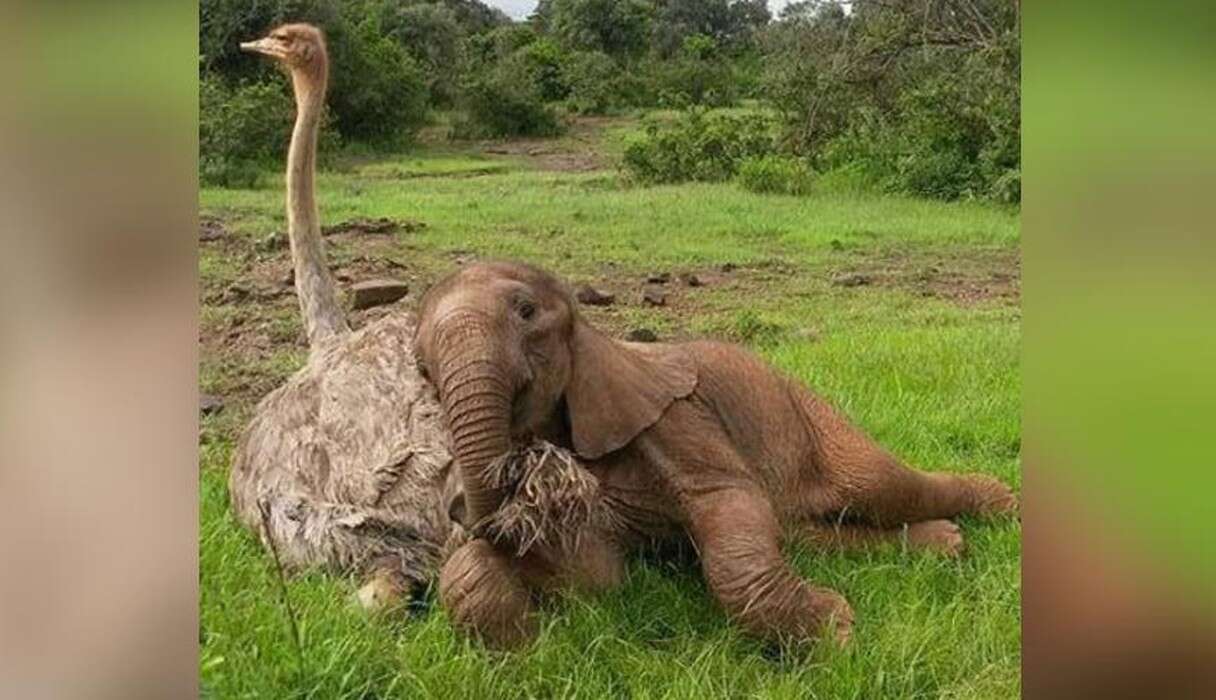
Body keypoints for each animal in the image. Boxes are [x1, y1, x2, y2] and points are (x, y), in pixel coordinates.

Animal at [415, 261, 1017, 649]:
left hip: (807, 414)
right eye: (421, 366)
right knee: (799, 529)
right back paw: (946, 542)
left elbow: (728, 502)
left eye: (526, 311)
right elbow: (597, 575)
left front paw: (837, 634)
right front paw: (526, 638)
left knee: (880, 487)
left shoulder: (676, 418)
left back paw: (999, 503)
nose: (459, 510)